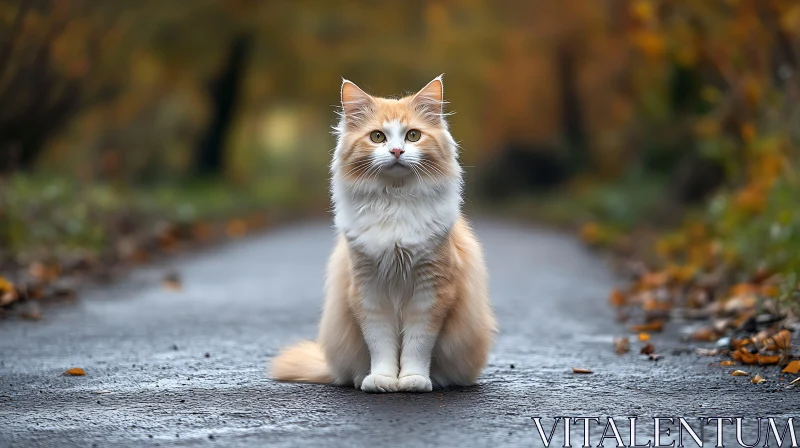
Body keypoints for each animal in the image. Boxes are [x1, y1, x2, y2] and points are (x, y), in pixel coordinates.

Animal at [268, 76, 494, 392]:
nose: (397, 152)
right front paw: (383, 379)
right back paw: (362, 377)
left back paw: (435, 380)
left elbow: (417, 345)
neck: (395, 202)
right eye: (377, 137)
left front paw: (412, 380)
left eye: (413, 136)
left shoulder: (430, 291)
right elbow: (381, 344)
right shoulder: (368, 289)